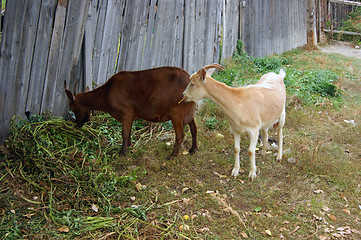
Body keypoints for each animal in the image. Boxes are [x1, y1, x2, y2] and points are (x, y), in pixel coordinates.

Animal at [66, 66, 198, 158]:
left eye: (72, 108)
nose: (77, 124)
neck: (106, 94)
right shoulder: (131, 115)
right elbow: (128, 131)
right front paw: (129, 147)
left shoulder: (126, 111)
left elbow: (124, 133)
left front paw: (122, 153)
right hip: (188, 111)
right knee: (194, 128)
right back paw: (193, 149)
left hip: (177, 113)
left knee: (180, 135)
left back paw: (172, 156)